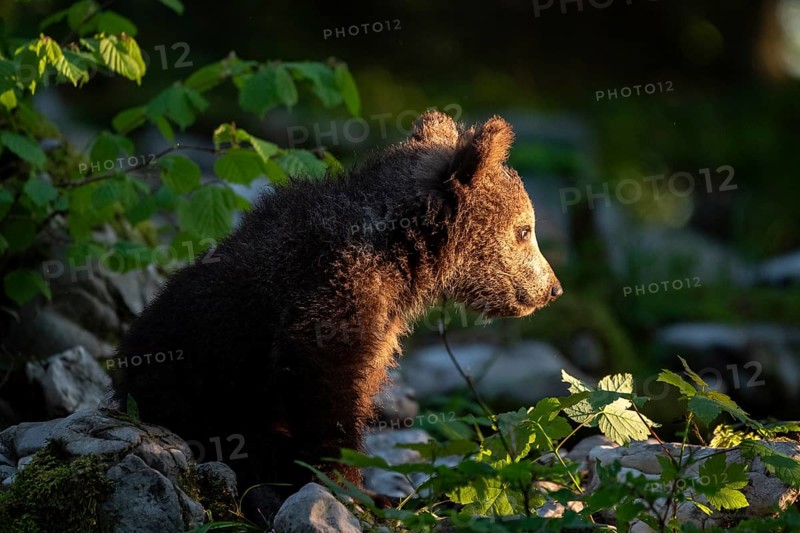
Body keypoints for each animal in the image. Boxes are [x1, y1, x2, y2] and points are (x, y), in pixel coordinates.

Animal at [109, 110, 562, 504]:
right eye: (524, 230)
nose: (553, 289)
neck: (401, 259)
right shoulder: (328, 295)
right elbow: (326, 386)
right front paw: (350, 485)